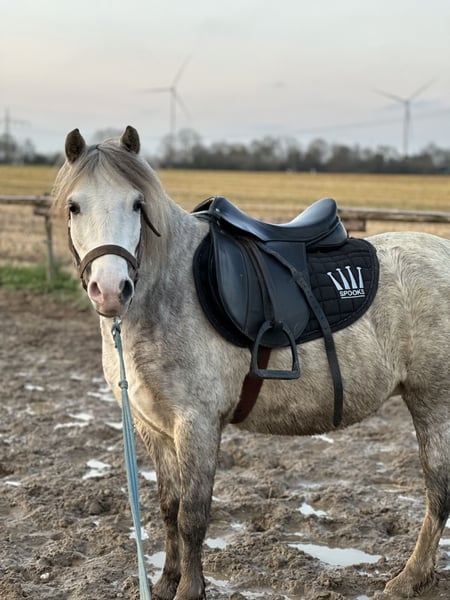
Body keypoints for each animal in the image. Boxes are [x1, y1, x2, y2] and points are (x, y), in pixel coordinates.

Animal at [53, 125, 450, 600]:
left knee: (438, 491)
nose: (111, 290)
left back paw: (410, 577)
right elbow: (168, 507)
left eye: (137, 204)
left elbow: (192, 516)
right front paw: (166, 582)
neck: (169, 292)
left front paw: (190, 589)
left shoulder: (197, 424)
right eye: (74, 206)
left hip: (433, 402)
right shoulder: (152, 427)